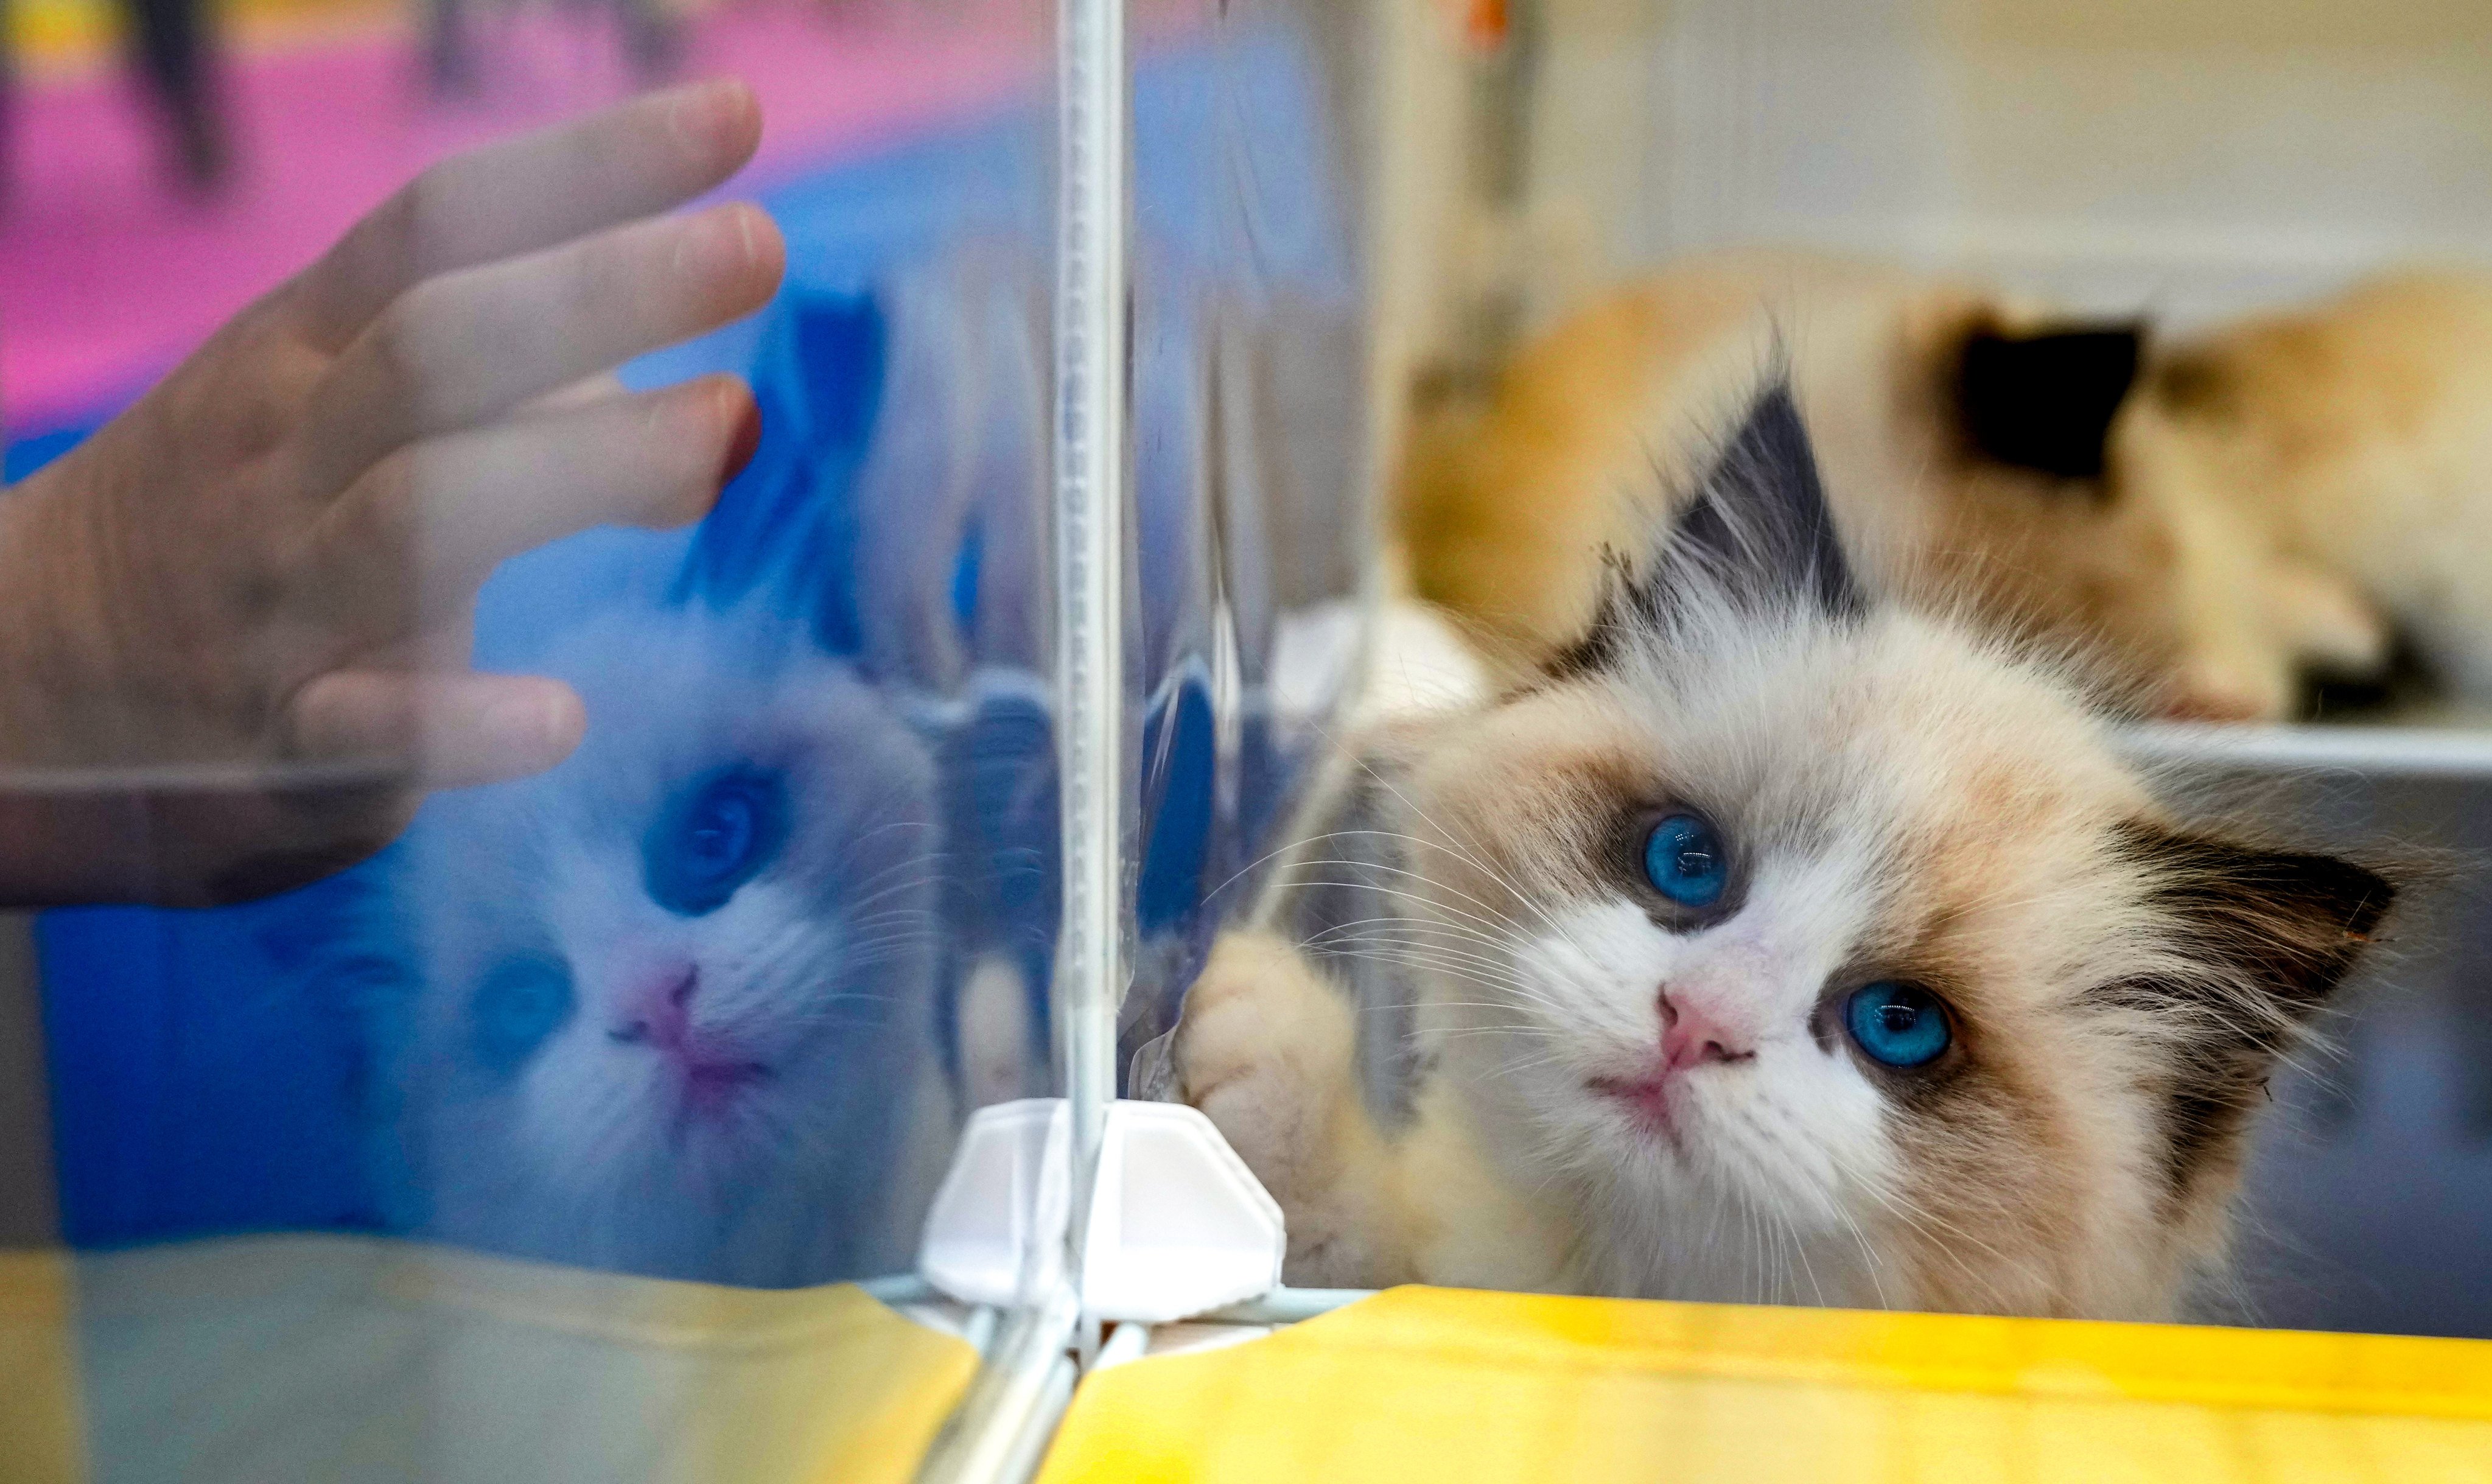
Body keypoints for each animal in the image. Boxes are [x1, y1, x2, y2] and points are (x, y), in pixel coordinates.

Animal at [1186, 383, 2392, 1325]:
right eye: (1685, 860)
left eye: (1899, 1024)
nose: (1694, 1024)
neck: (1607, 1287)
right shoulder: (1417, 1259)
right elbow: (1330, 1240)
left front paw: (1233, 1005)